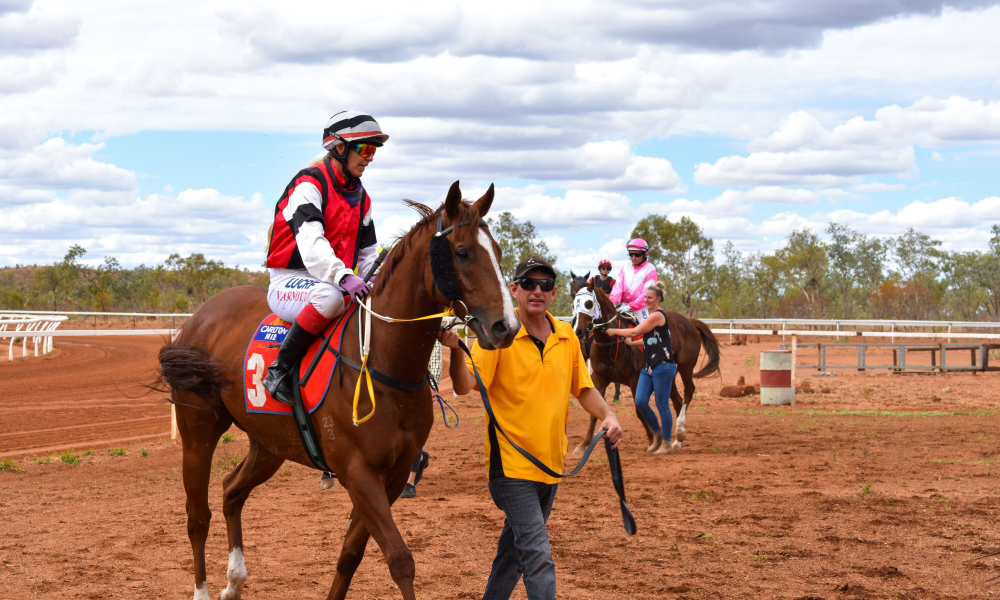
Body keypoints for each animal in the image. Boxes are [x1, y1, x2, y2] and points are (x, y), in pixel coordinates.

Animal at [158, 183, 516, 600]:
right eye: (462, 252)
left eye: (499, 253)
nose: (505, 326)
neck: (383, 365)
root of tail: (199, 317)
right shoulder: (358, 471)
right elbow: (400, 559)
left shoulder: (392, 474)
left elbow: (351, 554)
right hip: (198, 433)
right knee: (198, 517)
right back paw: (203, 588)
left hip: (270, 443)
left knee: (232, 491)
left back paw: (233, 582)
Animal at [572, 282, 720, 454]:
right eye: (574, 305)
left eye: (589, 304)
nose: (579, 331)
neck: (611, 344)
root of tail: (688, 321)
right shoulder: (599, 378)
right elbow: (594, 411)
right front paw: (584, 445)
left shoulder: (635, 379)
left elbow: (639, 410)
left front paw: (652, 440)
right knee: (677, 400)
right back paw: (675, 440)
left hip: (685, 367)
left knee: (688, 391)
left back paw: (679, 434)